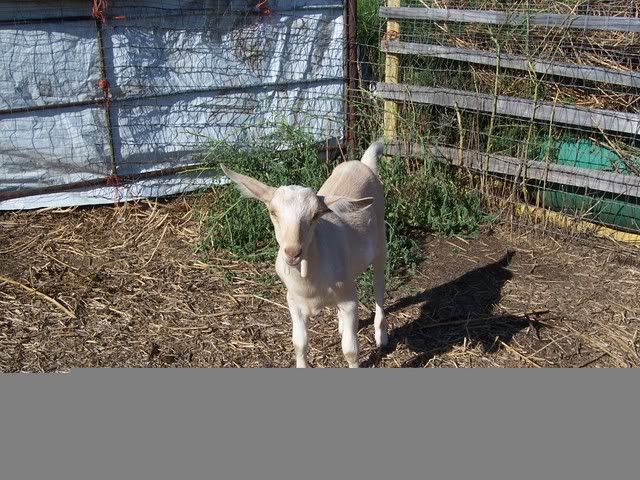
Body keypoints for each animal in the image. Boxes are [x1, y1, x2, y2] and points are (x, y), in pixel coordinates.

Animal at [221, 141, 387, 368]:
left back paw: (381, 337)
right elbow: (300, 343)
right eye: (273, 212)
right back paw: (342, 326)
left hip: (381, 246)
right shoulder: (293, 301)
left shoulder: (350, 301)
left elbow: (351, 350)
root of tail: (361, 163)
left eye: (316, 215)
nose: (292, 252)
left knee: (379, 288)